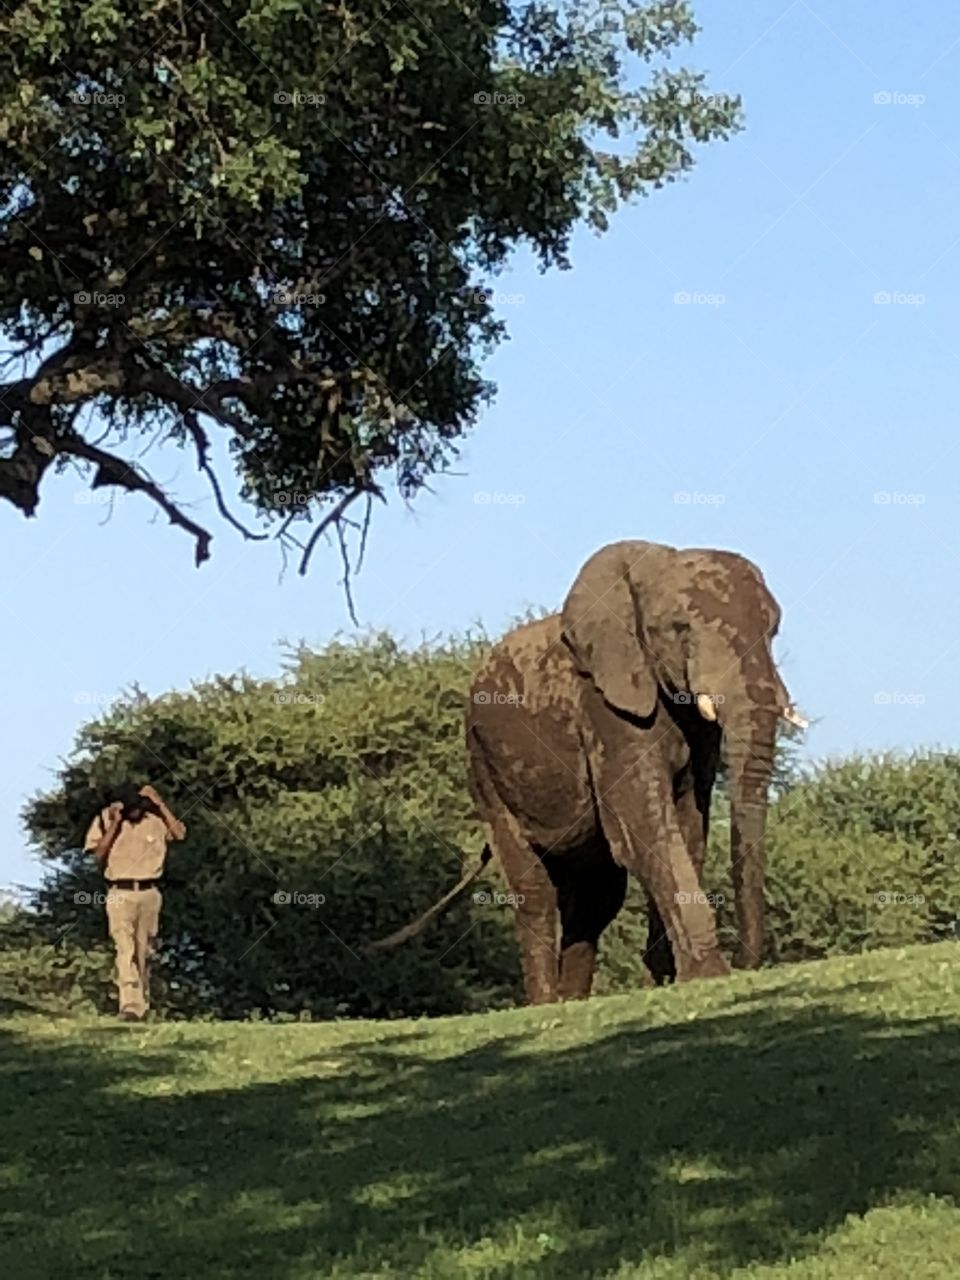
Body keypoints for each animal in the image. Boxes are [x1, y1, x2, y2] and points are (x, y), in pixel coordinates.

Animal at [371, 535, 803, 1003]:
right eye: (680, 628)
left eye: (774, 630)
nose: (747, 964)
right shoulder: (602, 704)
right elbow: (645, 822)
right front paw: (705, 976)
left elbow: (688, 825)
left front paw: (669, 978)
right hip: (482, 766)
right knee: (536, 890)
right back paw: (546, 1005)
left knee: (597, 897)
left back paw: (573, 999)